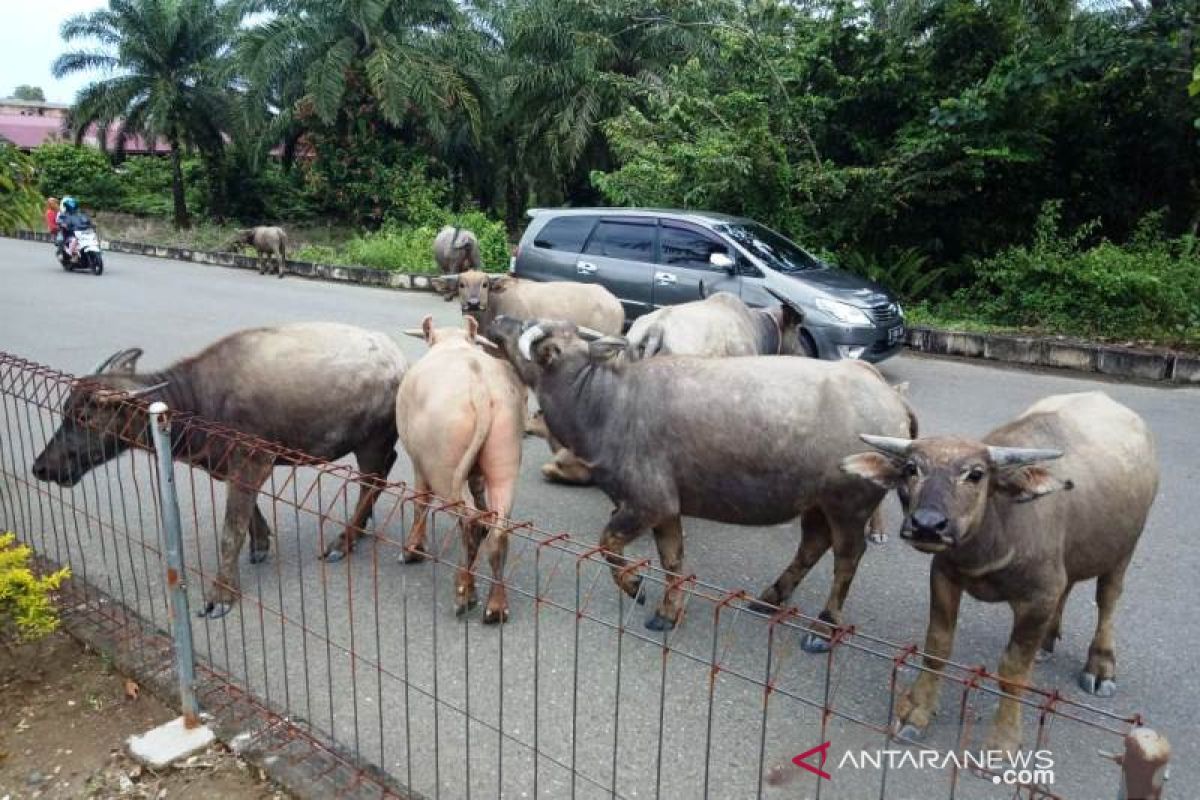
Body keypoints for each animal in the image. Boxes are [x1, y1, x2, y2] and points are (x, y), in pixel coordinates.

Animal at [30, 323, 410, 618]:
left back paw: (343, 541)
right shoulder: (231, 467)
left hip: (370, 441)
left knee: (372, 481)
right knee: (381, 473)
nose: (41, 467)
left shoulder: (252, 462)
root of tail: (400, 362)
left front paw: (221, 595)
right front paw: (261, 543)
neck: (198, 405)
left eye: (85, 417)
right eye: (65, 411)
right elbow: (247, 515)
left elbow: (231, 530)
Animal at [398, 314, 525, 623]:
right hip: (505, 447)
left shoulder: (419, 463)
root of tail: (478, 384)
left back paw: (464, 594)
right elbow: (478, 492)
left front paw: (413, 550)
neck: (453, 343)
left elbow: (420, 502)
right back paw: (495, 606)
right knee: (497, 526)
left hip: (442, 464)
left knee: (469, 519)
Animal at [482, 316, 912, 642]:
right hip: (817, 502)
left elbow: (607, 545)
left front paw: (636, 587)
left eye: (529, 330)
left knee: (847, 557)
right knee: (813, 545)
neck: (606, 405)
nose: (499, 318)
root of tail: (891, 397)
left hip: (850, 504)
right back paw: (770, 597)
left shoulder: (645, 503)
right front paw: (668, 612)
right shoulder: (668, 510)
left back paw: (823, 626)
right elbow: (672, 560)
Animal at [840, 393, 1156, 758]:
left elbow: (1013, 670)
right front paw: (916, 712)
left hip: (1124, 550)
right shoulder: (945, 575)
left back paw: (1100, 666)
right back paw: (1047, 641)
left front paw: (1003, 739)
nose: (927, 525)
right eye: (910, 469)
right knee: (1069, 587)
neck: (992, 538)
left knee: (1107, 599)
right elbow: (937, 647)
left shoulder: (1038, 597)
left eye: (976, 474)